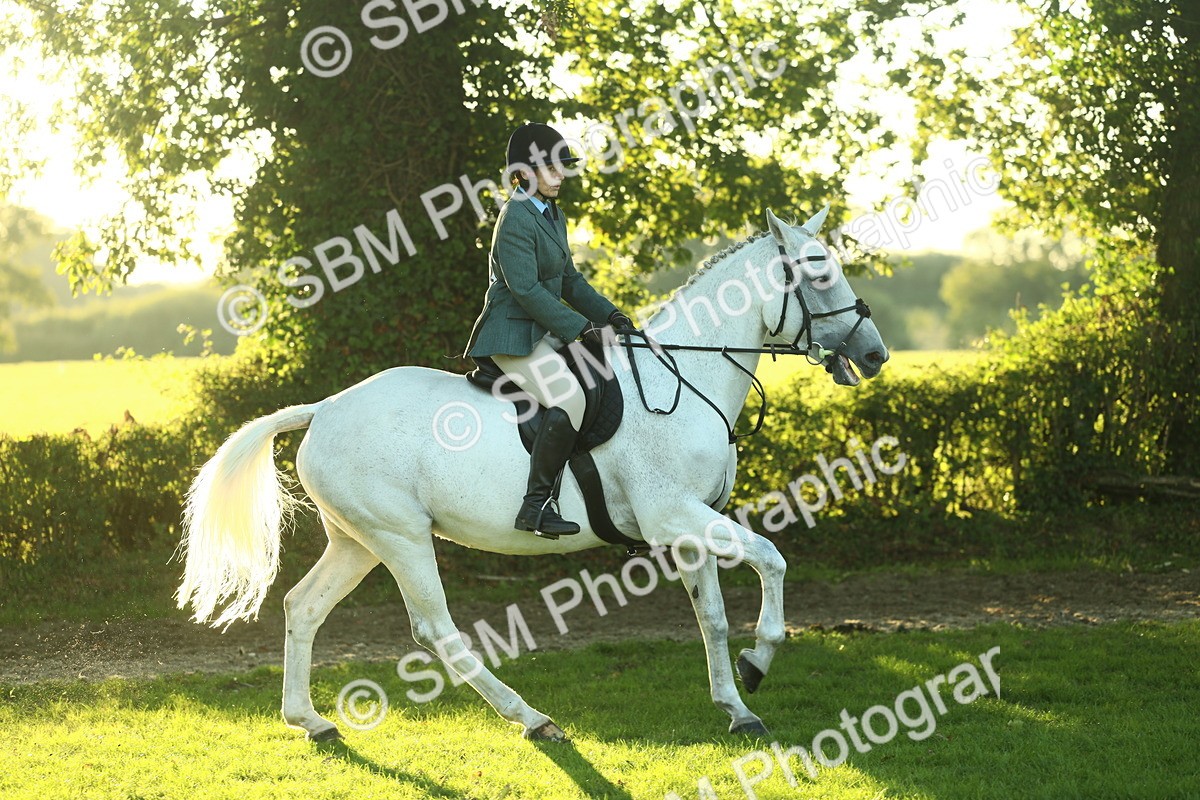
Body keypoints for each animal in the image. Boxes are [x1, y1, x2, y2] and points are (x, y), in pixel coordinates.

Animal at [175, 206, 889, 742]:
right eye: (819, 273)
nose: (876, 354)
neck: (685, 376)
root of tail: (324, 408)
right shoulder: (674, 515)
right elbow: (771, 558)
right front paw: (759, 660)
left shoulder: (690, 524)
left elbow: (710, 616)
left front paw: (736, 708)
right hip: (401, 536)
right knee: (436, 629)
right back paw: (533, 718)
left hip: (357, 539)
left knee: (303, 606)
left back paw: (311, 721)